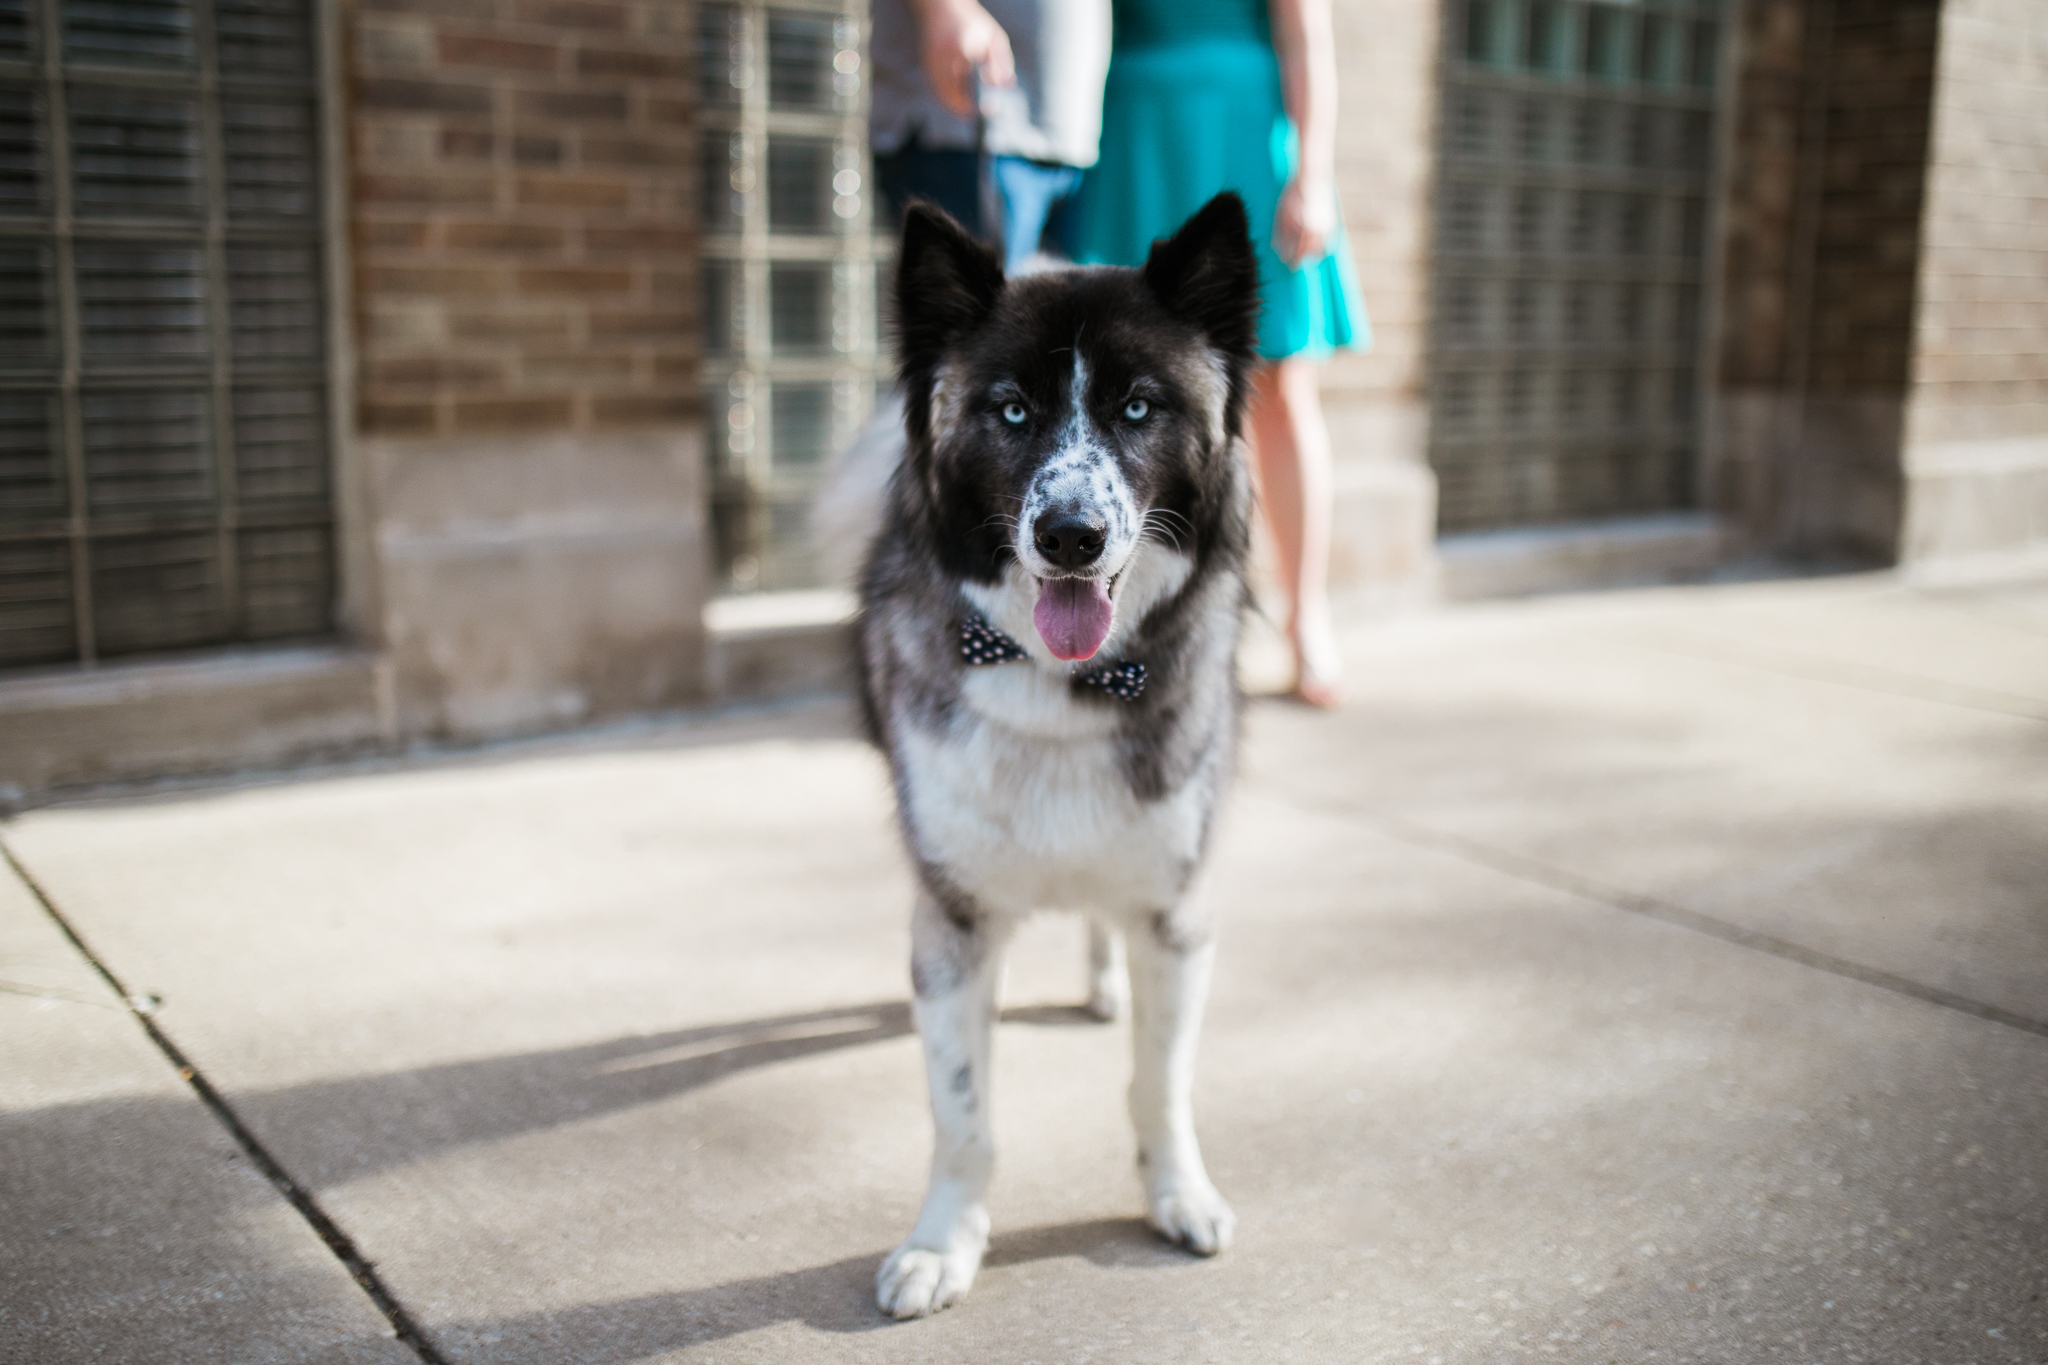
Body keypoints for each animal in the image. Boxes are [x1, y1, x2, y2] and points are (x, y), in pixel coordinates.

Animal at [839, 194, 1253, 1326]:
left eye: (1140, 407)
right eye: (1013, 411)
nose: (1070, 536)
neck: (1064, 682)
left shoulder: (1176, 909)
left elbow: (1161, 1080)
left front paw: (1178, 1194)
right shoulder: (953, 921)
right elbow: (961, 1114)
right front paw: (942, 1244)